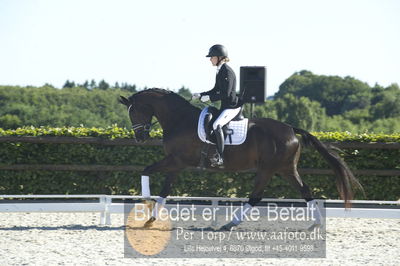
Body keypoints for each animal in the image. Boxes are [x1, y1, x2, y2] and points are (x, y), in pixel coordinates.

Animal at [119, 88, 362, 230]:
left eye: (135, 111)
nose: (140, 138)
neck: (180, 120)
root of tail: (290, 128)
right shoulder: (175, 164)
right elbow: (160, 185)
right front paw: (150, 214)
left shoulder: (176, 161)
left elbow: (150, 174)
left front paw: (146, 204)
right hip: (286, 169)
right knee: (305, 191)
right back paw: (316, 224)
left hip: (268, 169)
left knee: (256, 196)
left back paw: (231, 223)